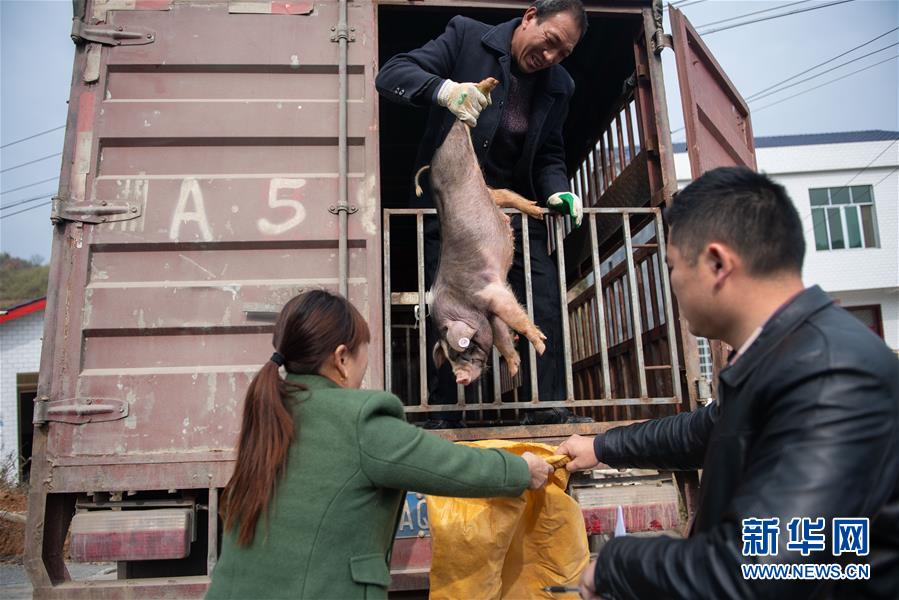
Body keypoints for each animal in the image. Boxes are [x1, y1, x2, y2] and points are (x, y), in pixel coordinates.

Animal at [424, 77, 548, 386]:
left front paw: (541, 345)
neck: (461, 300)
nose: (460, 379)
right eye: (450, 357)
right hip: (488, 191)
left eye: (462, 350)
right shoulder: (489, 314)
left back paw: (482, 87)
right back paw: (536, 210)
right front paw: (515, 369)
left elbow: (515, 316)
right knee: (504, 193)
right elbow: (501, 336)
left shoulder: (489, 290)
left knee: (466, 120)